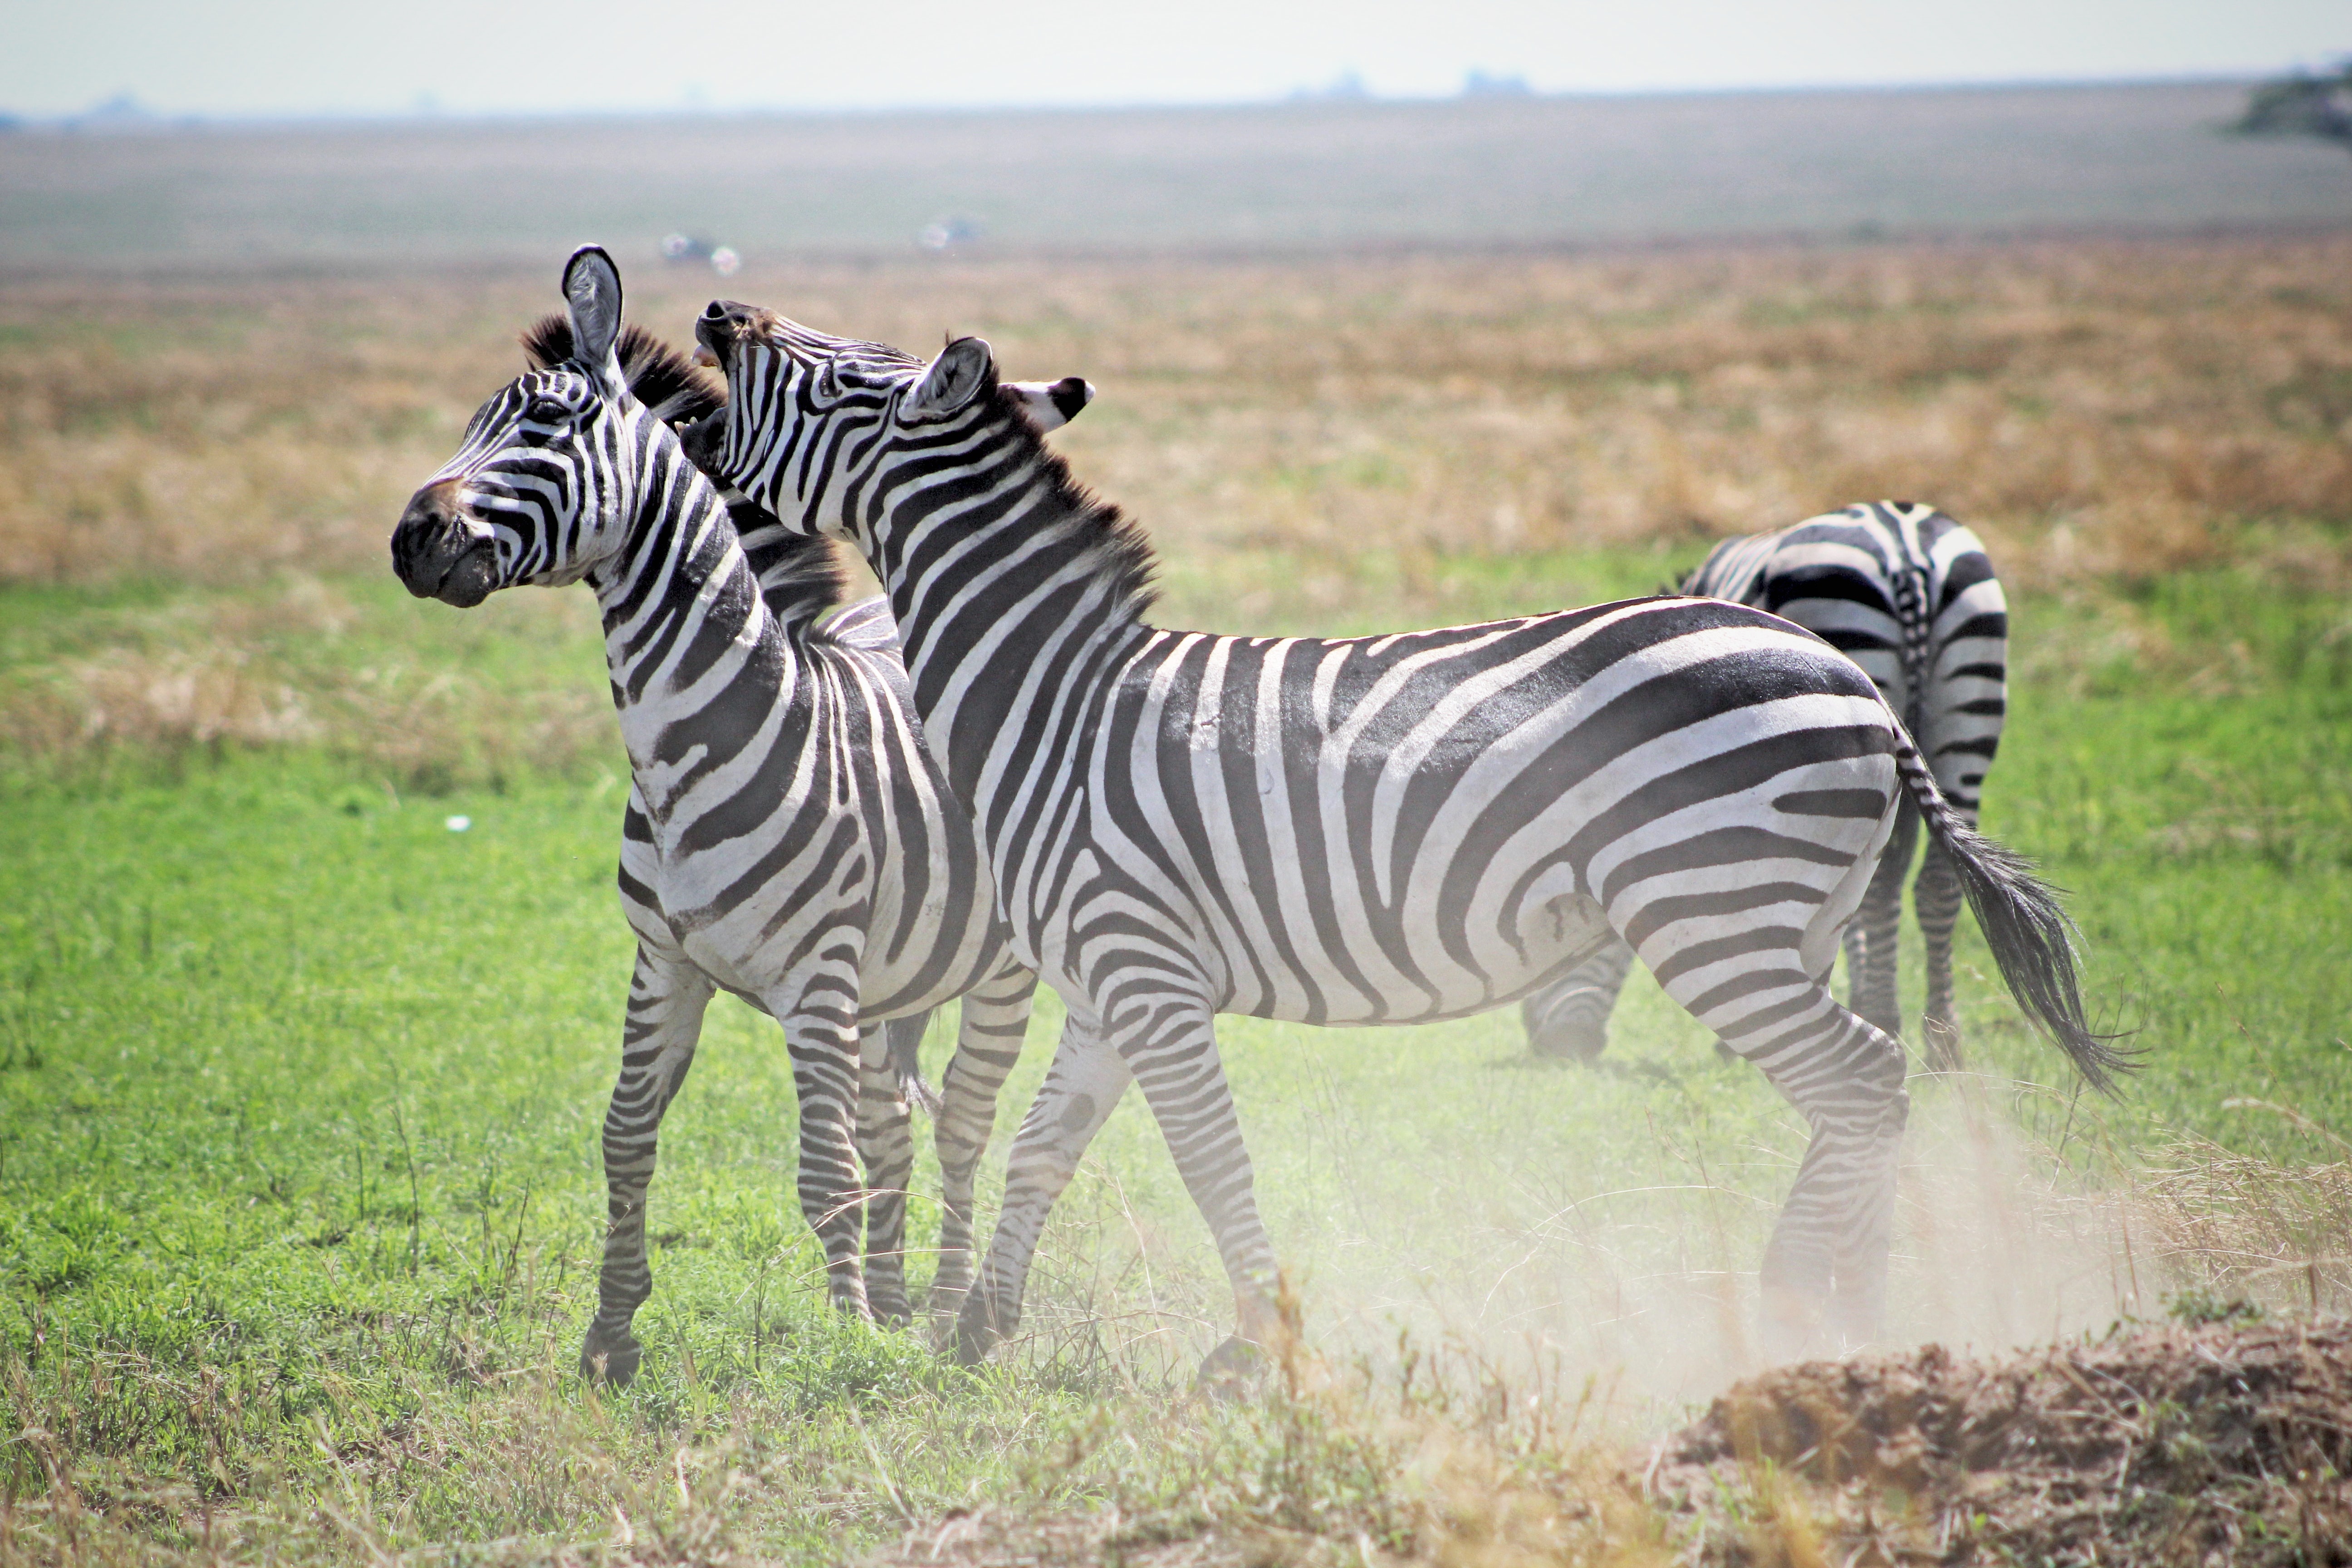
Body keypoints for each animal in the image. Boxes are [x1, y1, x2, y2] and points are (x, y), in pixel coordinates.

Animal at [390, 248, 1096, 1382]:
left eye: (547, 424)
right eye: (471, 424)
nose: (412, 540)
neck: (698, 742)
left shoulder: (817, 982)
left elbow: (823, 1170)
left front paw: (850, 1334)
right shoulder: (664, 962)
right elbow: (626, 1138)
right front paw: (611, 1333)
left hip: (997, 971)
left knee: (961, 1125)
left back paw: (943, 1304)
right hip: (889, 983)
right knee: (893, 1123)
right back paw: (901, 1293)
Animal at [1514, 510, 2013, 1072]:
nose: (1552, 1047)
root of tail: (1905, 550)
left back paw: (1888, 1017)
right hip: (1966, 713)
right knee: (1936, 883)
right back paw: (1942, 1039)